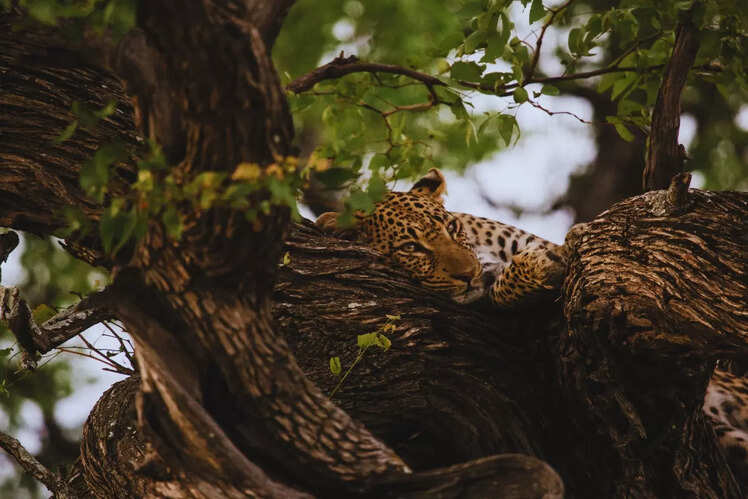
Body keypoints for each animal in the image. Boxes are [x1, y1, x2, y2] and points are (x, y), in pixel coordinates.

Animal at [315, 168, 748, 485]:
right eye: (411, 249)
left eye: (450, 229)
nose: (467, 274)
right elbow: (504, 290)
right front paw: (536, 269)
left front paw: (549, 255)